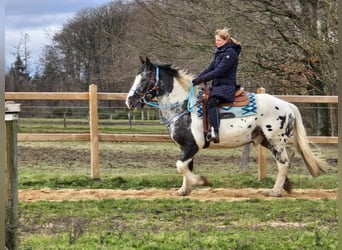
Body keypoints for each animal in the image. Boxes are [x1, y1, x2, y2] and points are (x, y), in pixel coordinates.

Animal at [125, 57, 326, 197]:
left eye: (144, 78)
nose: (130, 101)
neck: (184, 107)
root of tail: (287, 105)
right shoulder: (186, 147)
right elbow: (186, 166)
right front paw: (183, 191)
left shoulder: (192, 145)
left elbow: (181, 165)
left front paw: (202, 181)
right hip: (265, 140)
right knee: (289, 156)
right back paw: (286, 186)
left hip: (275, 140)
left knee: (283, 163)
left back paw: (275, 191)